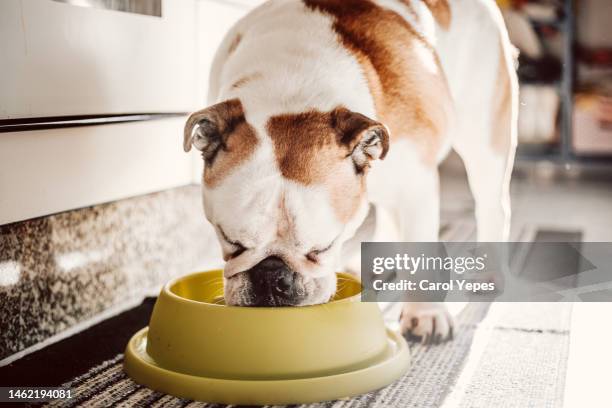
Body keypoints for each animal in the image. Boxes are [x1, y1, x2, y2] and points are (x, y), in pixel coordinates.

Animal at [183, 0, 516, 344]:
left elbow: (421, 248)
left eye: (323, 248)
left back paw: (489, 272)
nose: (271, 277)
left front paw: (426, 315)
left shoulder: (417, 187)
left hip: (483, 136)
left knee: (492, 205)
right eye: (231, 242)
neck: (292, 89)